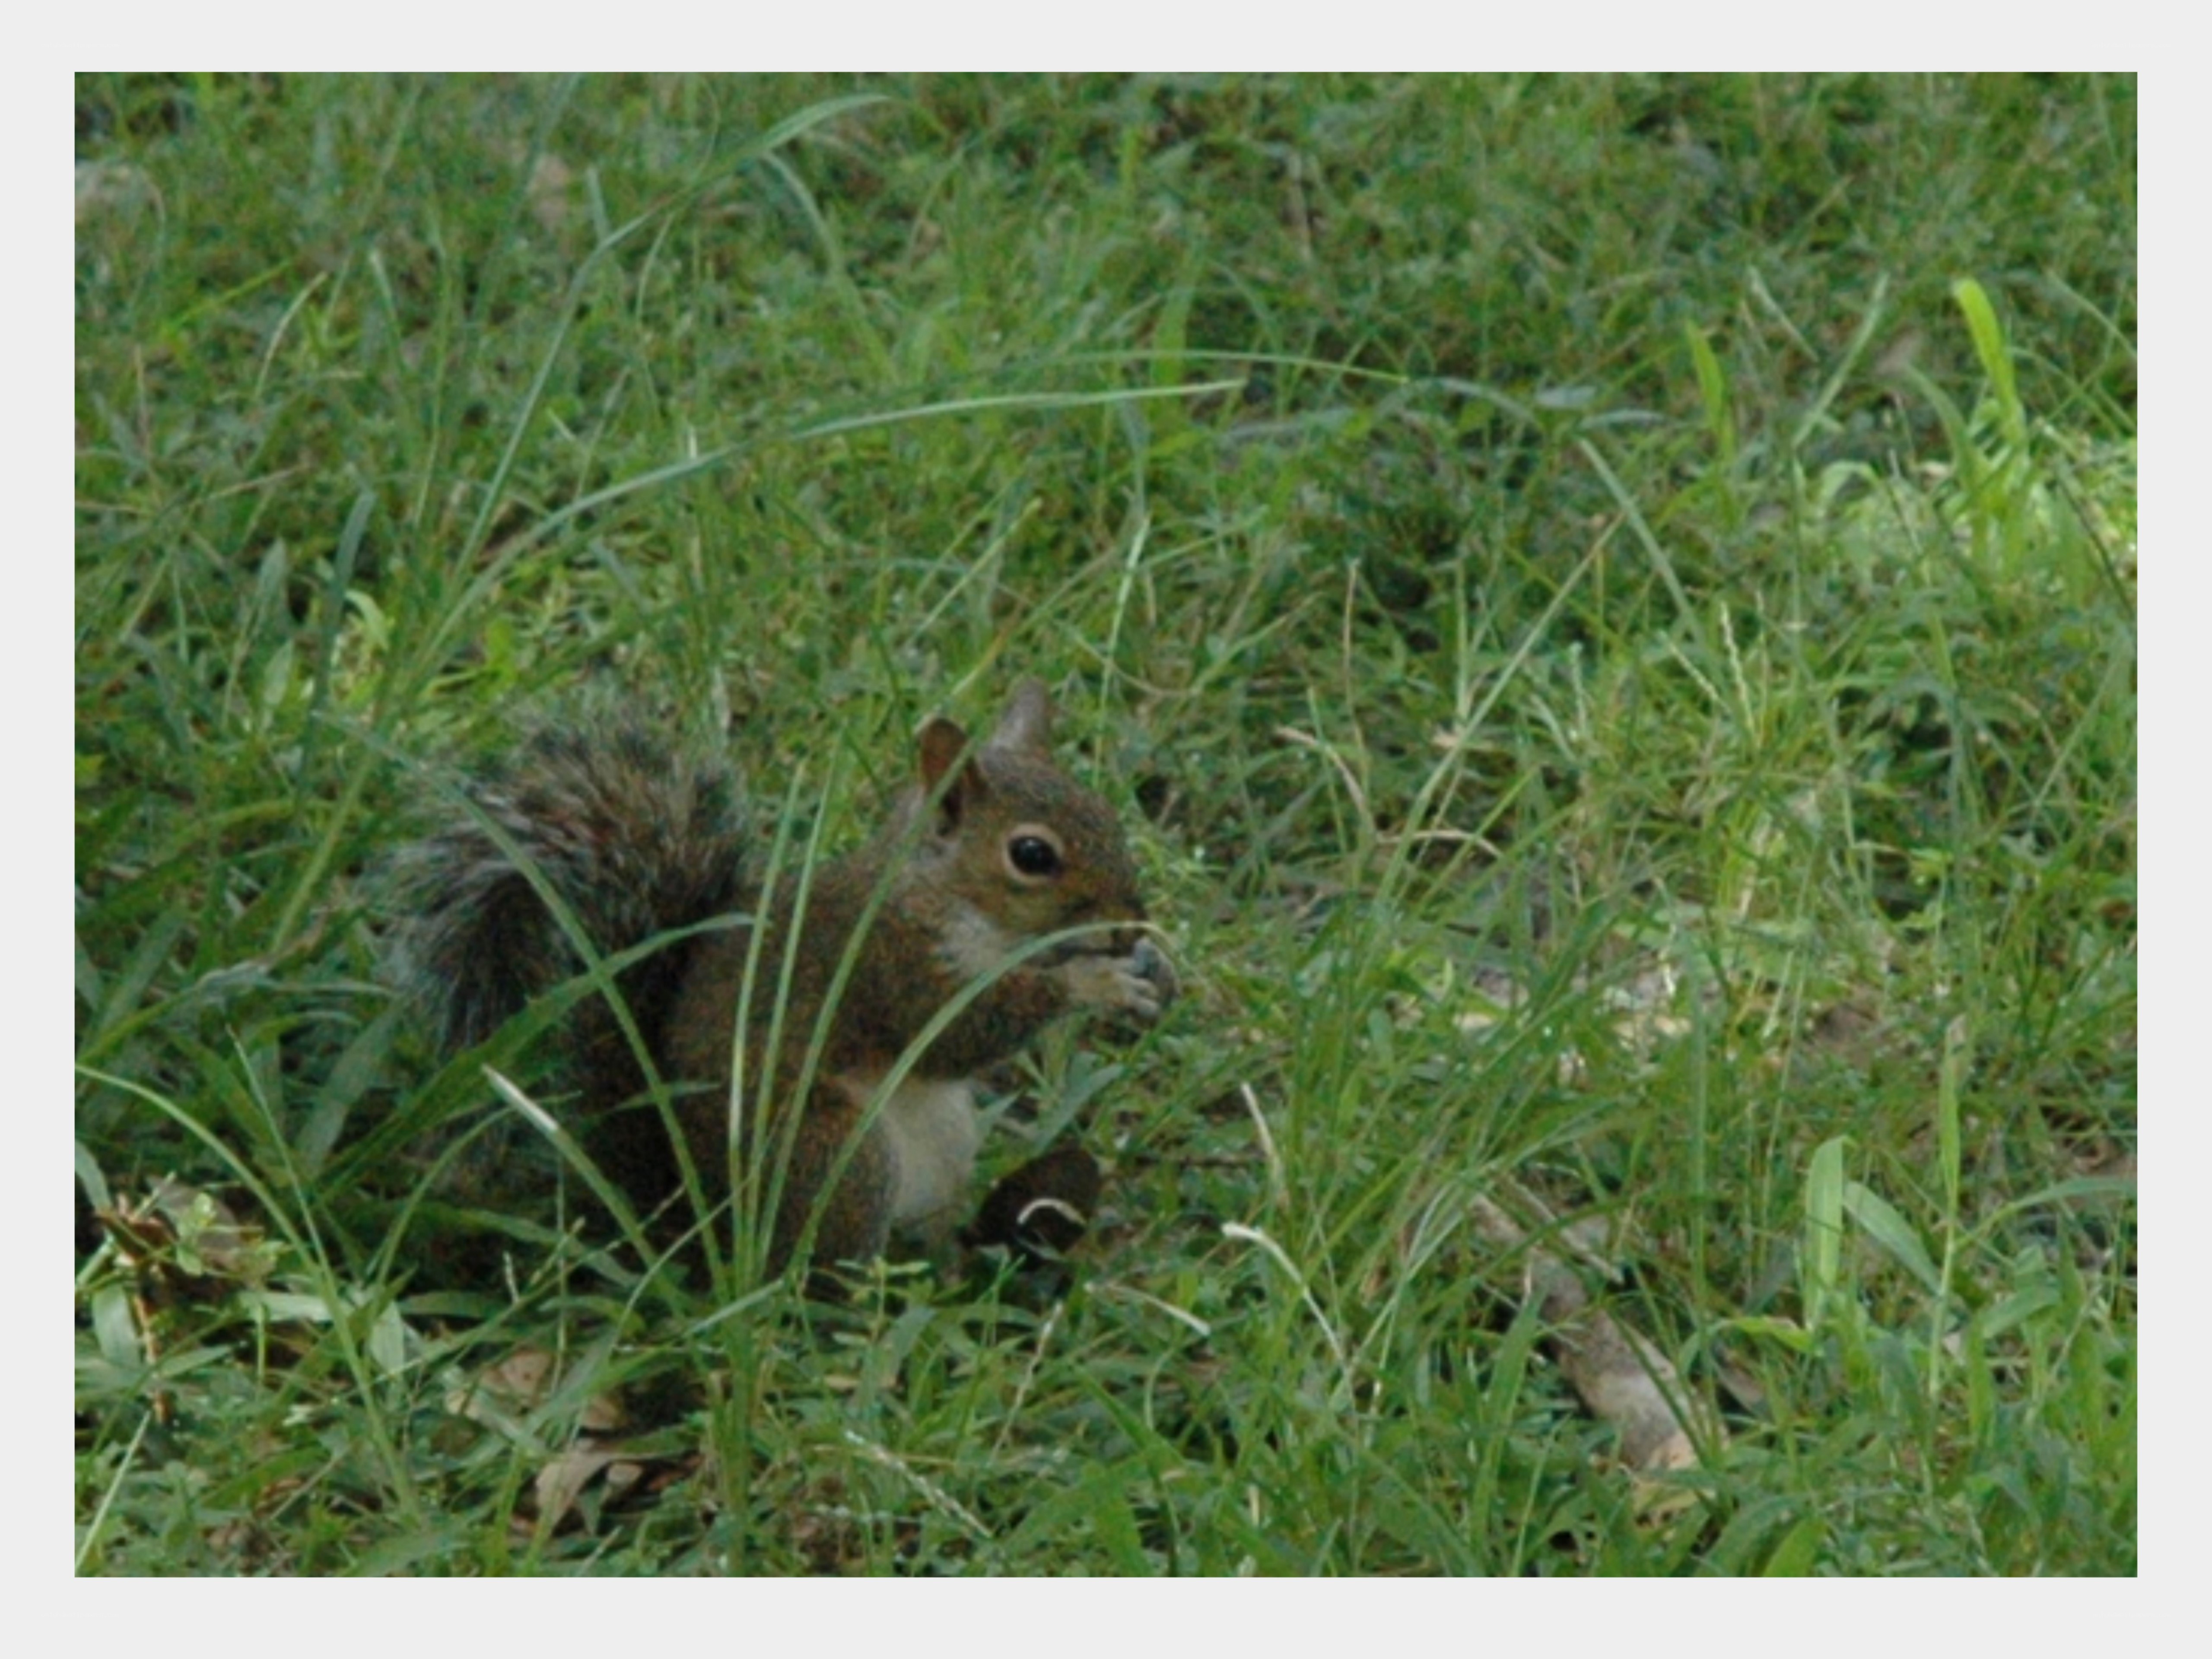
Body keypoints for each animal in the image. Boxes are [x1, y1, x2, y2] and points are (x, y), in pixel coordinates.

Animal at [386, 678, 1175, 1280]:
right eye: (1033, 855)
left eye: (1108, 815)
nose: (1133, 924)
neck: (944, 899)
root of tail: (692, 1213)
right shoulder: (890, 967)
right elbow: (962, 1031)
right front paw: (1095, 984)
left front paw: (1148, 967)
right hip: (834, 1157)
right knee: (817, 1276)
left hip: (942, 1142)